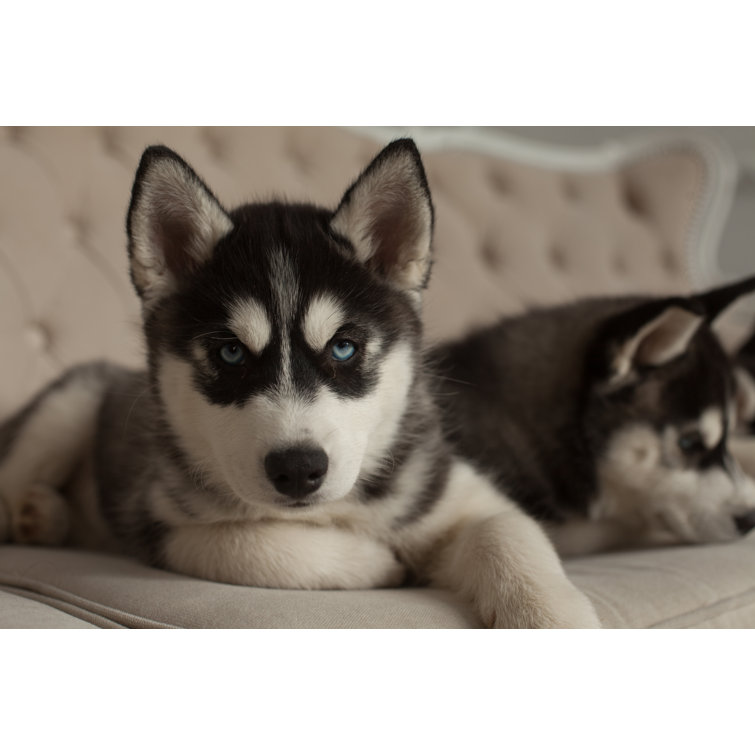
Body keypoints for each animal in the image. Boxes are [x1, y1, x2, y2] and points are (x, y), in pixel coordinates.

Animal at [0, 139, 604, 628]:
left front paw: (553, 618)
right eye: (230, 352)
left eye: (344, 348)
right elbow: (251, 542)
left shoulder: (453, 494)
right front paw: (373, 562)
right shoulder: (159, 520)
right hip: (68, 403)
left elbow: (508, 531)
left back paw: (44, 516)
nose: (297, 469)